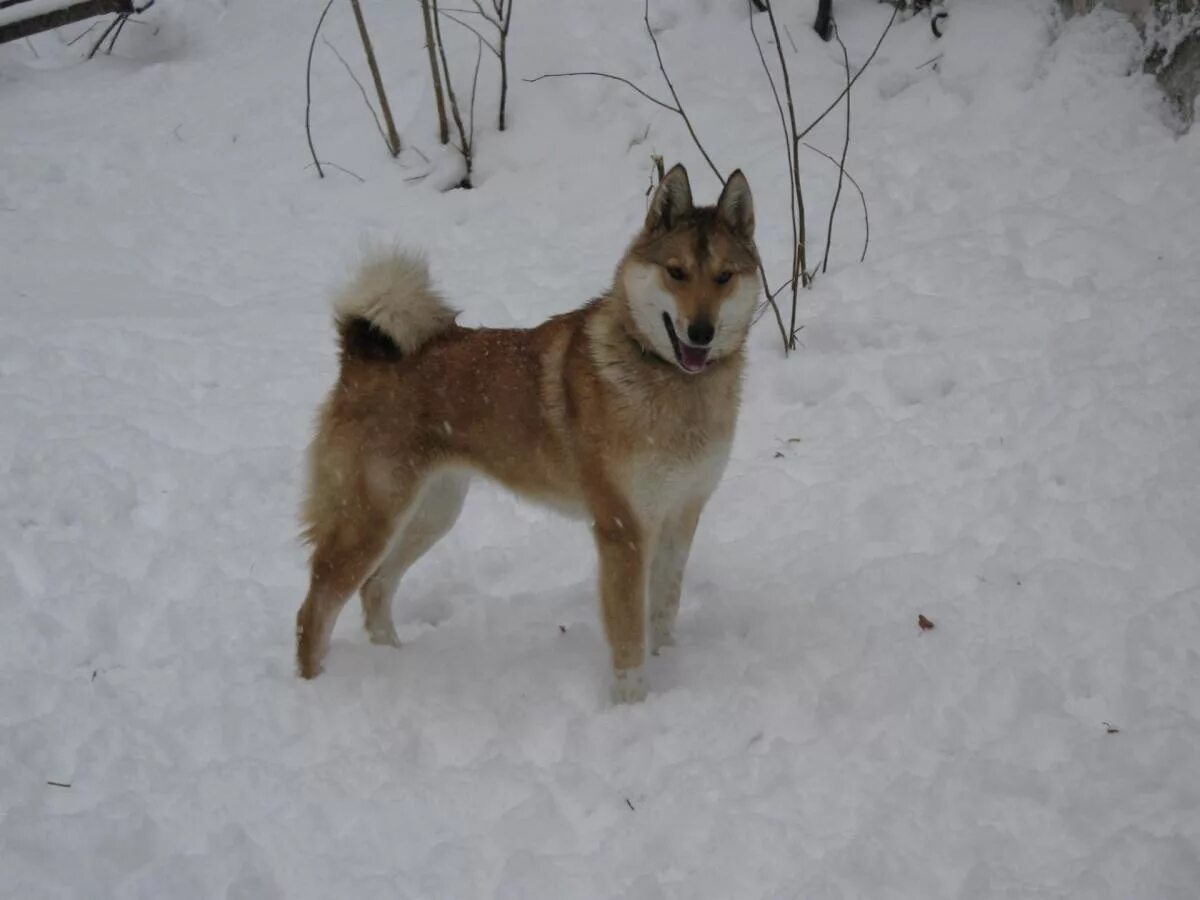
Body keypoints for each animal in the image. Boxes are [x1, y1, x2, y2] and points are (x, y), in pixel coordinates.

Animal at [292, 168, 758, 705]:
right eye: (676, 272)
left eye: (724, 277)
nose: (701, 332)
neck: (669, 381)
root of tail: (360, 356)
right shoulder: (622, 529)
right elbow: (628, 635)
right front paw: (634, 703)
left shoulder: (681, 515)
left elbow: (663, 611)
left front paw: (669, 670)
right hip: (370, 518)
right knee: (315, 608)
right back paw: (312, 688)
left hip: (432, 511)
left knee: (375, 588)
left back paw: (395, 661)